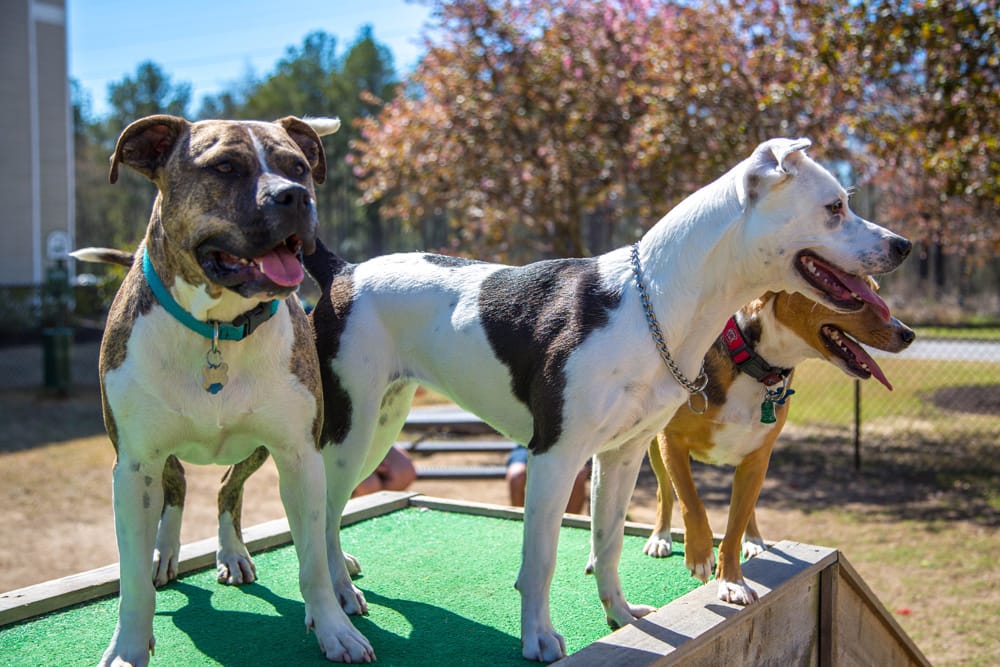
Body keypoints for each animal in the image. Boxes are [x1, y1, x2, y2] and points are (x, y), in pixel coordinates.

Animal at [640, 288, 916, 604]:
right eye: (853, 295)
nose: (909, 334)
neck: (756, 365)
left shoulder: (757, 459)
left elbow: (734, 528)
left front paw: (732, 581)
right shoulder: (671, 440)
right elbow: (691, 501)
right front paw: (699, 555)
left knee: (746, 509)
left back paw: (754, 540)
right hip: (653, 447)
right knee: (665, 492)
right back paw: (660, 537)